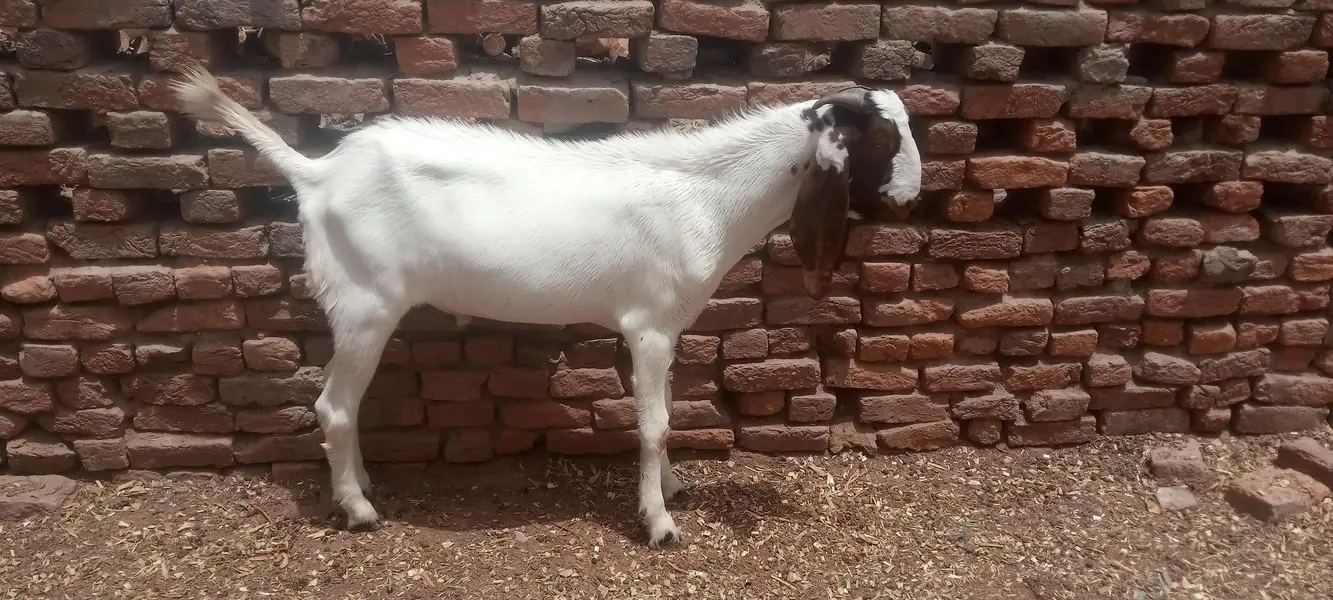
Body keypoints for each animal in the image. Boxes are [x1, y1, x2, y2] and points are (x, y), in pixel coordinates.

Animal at [170, 67, 922, 548]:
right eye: (884, 139)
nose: (912, 196)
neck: (704, 197)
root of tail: (320, 172)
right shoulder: (648, 325)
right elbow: (653, 424)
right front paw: (658, 523)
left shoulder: (667, 328)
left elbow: (666, 414)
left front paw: (673, 489)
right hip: (364, 304)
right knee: (333, 405)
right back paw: (356, 510)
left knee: (342, 405)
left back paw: (363, 487)